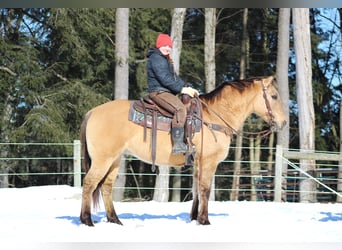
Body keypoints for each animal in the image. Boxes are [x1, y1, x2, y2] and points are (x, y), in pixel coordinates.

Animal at [79, 76, 286, 227]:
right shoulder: (208, 163)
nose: (283, 123)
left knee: (106, 187)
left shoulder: (198, 163)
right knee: (89, 183)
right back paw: (87, 220)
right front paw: (204, 220)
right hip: (103, 160)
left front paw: (194, 217)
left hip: (114, 160)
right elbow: (205, 190)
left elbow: (196, 190)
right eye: (274, 96)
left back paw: (115, 220)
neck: (215, 117)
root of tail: (92, 112)